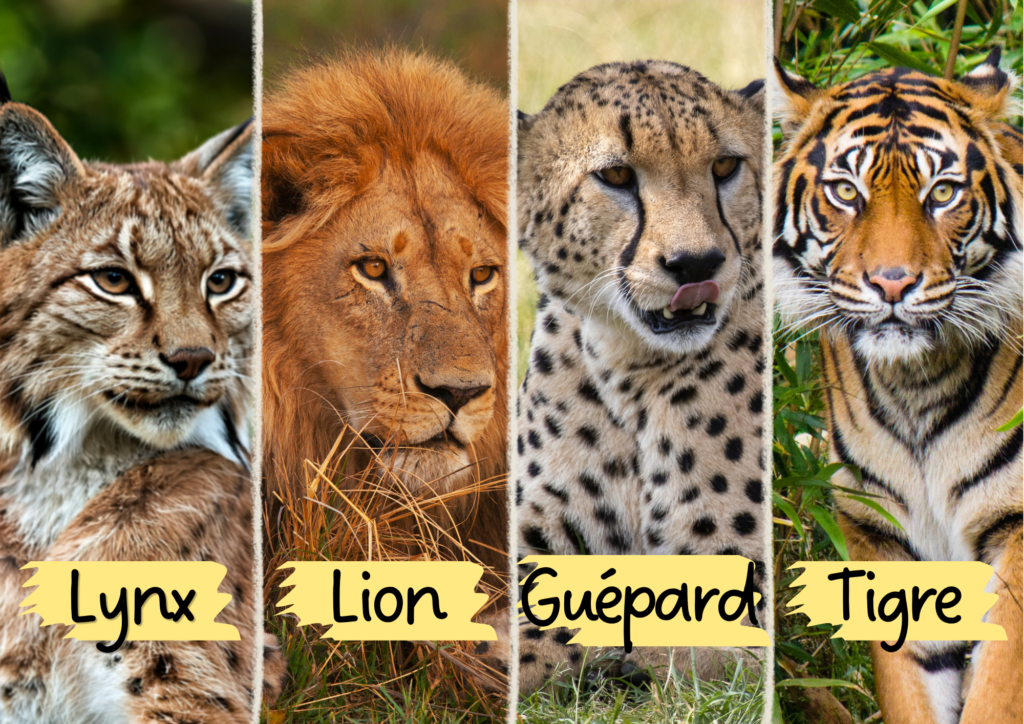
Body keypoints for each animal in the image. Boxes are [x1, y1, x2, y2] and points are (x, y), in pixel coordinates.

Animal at [773, 49, 1022, 724]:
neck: (917, 385)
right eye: (845, 192)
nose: (891, 284)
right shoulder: (882, 533)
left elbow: (998, 687)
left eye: (942, 193)